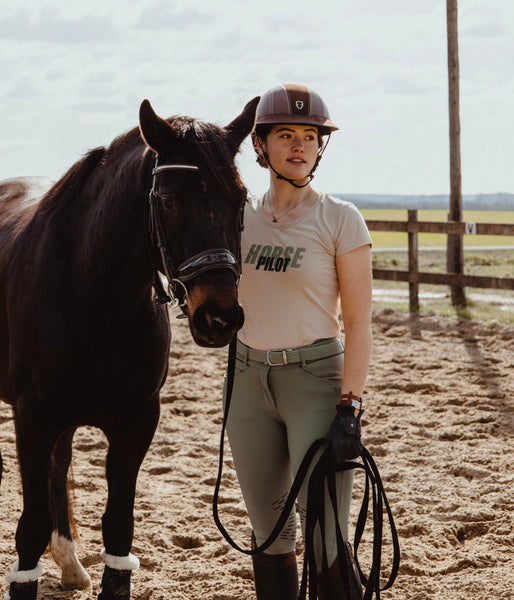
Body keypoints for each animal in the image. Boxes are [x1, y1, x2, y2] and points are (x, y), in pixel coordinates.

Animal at [0, 97, 258, 600]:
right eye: (169, 200)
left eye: (240, 200)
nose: (219, 317)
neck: (93, 297)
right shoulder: (32, 418)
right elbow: (30, 528)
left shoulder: (137, 421)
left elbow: (119, 527)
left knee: (59, 468)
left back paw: (69, 562)